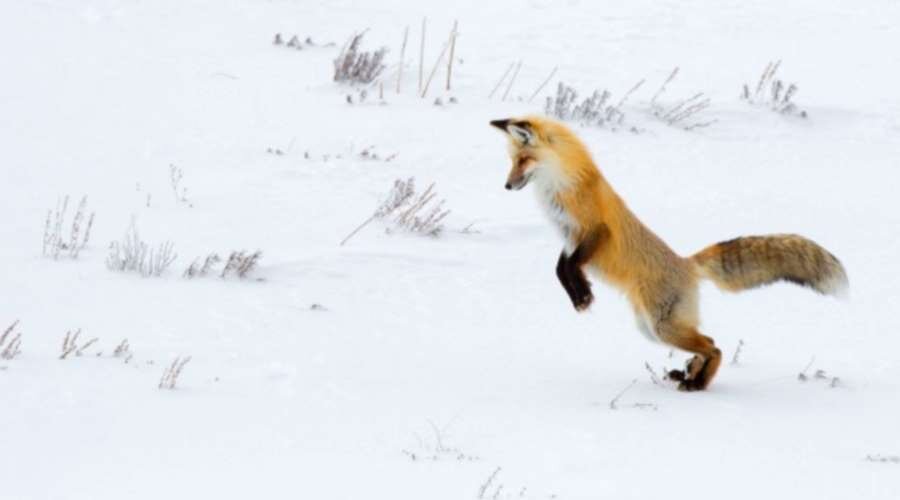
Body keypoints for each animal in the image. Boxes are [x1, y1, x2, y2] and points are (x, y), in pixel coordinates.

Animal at [488, 116, 848, 390]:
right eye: (512, 161)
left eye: (523, 160)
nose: (506, 186)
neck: (560, 188)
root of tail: (687, 264)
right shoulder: (568, 238)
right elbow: (561, 269)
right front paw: (581, 294)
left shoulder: (594, 230)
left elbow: (572, 266)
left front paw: (583, 295)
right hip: (651, 328)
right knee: (708, 342)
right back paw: (688, 374)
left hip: (662, 326)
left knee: (715, 346)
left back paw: (697, 383)